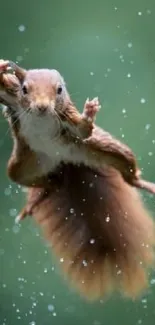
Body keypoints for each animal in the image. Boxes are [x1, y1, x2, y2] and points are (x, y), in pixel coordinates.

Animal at [0, 58, 155, 302]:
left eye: (59, 90)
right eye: (25, 89)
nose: (42, 107)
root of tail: (64, 161)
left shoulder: (68, 118)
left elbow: (83, 130)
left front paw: (89, 112)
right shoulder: (11, 96)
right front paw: (1, 67)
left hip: (105, 149)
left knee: (129, 174)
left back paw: (147, 184)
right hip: (22, 166)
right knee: (48, 183)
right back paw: (36, 200)